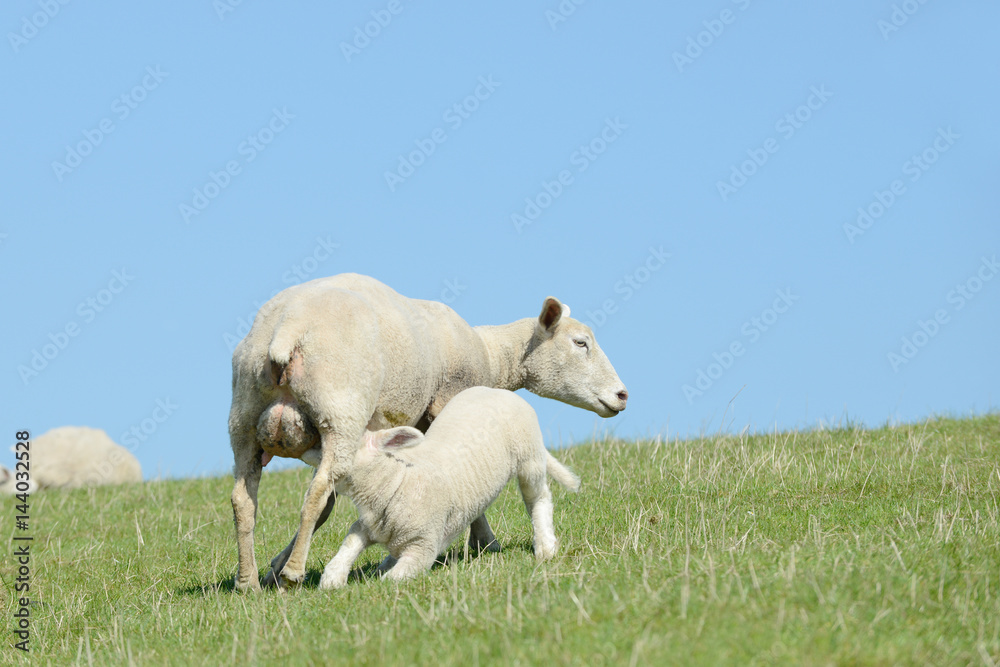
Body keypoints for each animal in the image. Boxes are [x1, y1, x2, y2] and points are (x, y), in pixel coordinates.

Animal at [319, 386, 580, 588]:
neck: (396, 481)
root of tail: (497, 390)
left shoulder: (423, 546)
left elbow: (393, 579)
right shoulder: (369, 525)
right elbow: (350, 543)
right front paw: (332, 579)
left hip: (529, 456)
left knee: (538, 498)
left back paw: (545, 545)